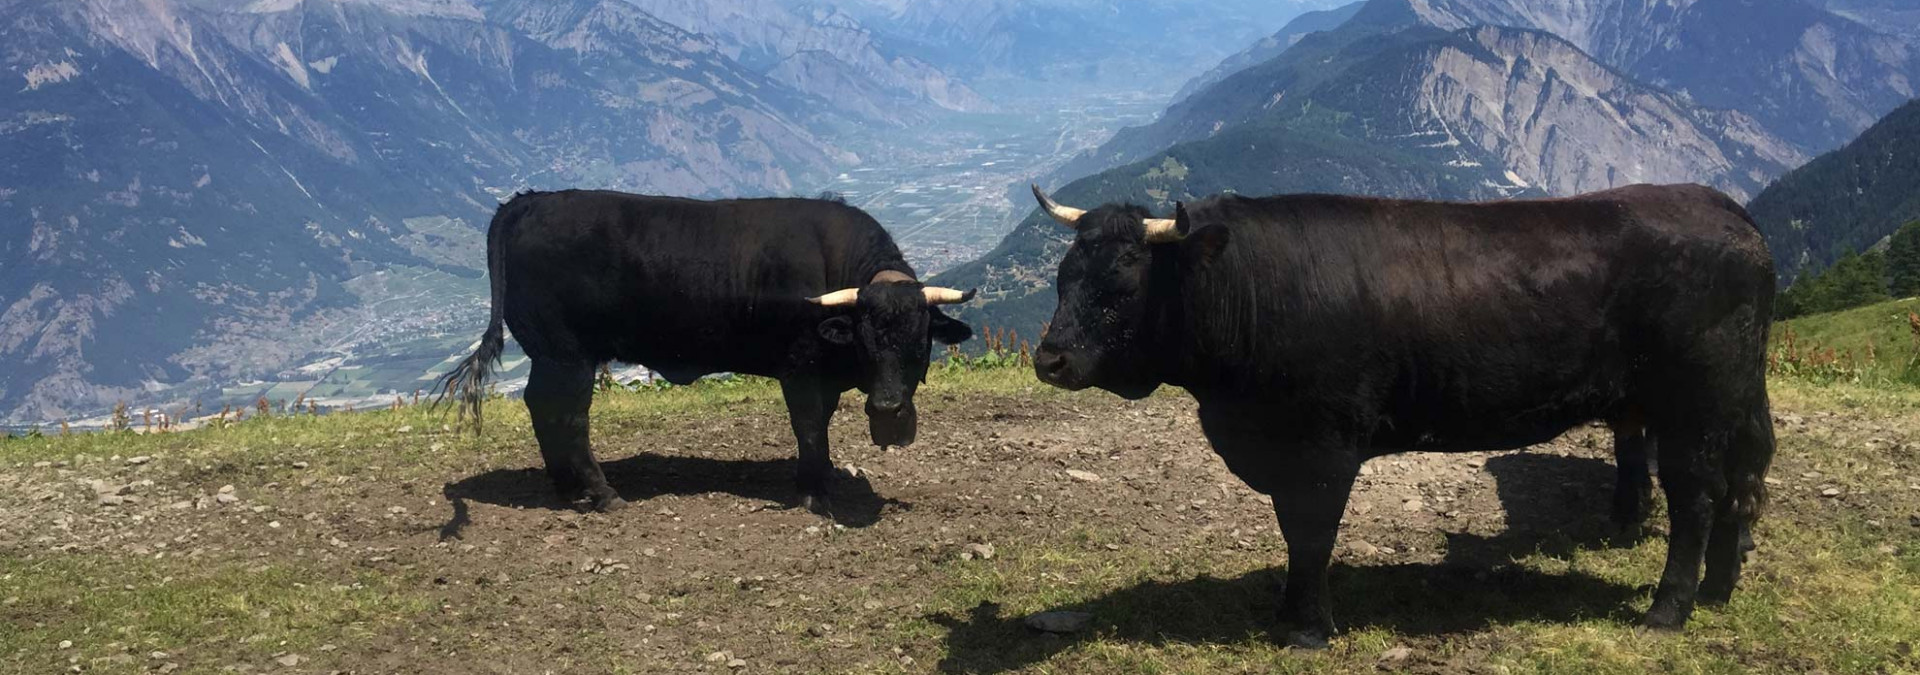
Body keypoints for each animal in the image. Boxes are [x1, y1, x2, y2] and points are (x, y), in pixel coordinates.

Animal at [440, 190, 975, 513]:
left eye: (919, 340)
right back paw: (599, 492)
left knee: (542, 409)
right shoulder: (799, 368)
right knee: (565, 414)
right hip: (566, 356)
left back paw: (567, 489)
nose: (887, 409)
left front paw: (824, 478)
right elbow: (808, 427)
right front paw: (814, 489)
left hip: (552, 356)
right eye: (865, 339)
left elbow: (821, 425)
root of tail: (532, 201)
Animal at [1028, 183, 1776, 647]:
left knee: (1696, 497)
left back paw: (1668, 609)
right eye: (1064, 276)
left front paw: (1308, 627)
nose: (1050, 358)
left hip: (1693, 405)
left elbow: (1311, 535)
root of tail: (1723, 209)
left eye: (1123, 282)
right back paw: (1718, 588)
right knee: (1739, 484)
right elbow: (1294, 533)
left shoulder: (1323, 446)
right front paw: (1287, 614)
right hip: (1732, 400)